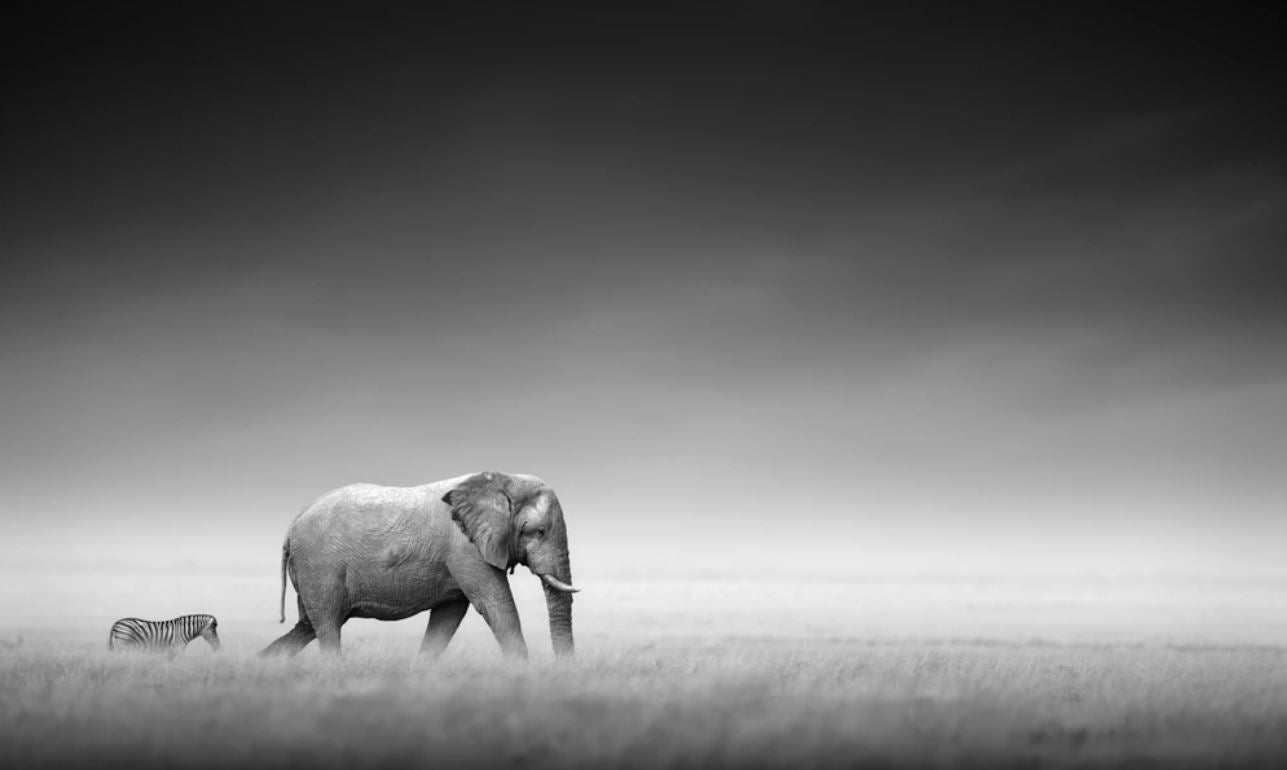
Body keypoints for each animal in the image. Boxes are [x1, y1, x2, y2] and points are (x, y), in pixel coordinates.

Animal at [260, 471, 577, 659]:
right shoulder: (465, 548)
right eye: (538, 531)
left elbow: (448, 617)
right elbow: (496, 607)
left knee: (307, 626)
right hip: (319, 566)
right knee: (326, 625)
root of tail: (292, 525)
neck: (502, 481)